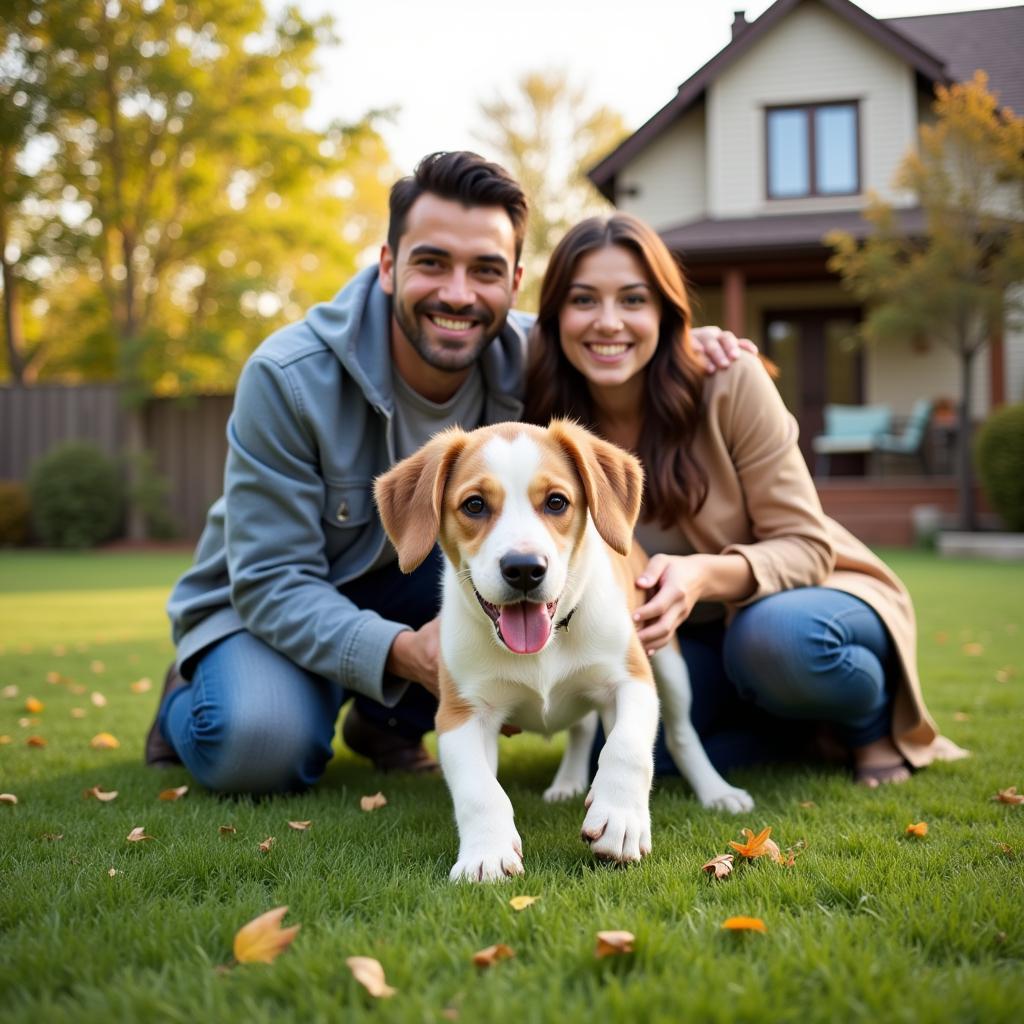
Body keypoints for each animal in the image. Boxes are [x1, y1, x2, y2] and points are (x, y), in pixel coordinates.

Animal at [372, 419, 749, 884]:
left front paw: (620, 819)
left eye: (556, 502)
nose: (524, 568)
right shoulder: (461, 713)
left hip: (669, 663)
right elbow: (479, 788)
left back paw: (716, 791)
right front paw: (487, 853)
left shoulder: (631, 679)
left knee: (680, 734)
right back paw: (567, 783)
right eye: (474, 505)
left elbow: (626, 747)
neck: (546, 643)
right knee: (582, 728)